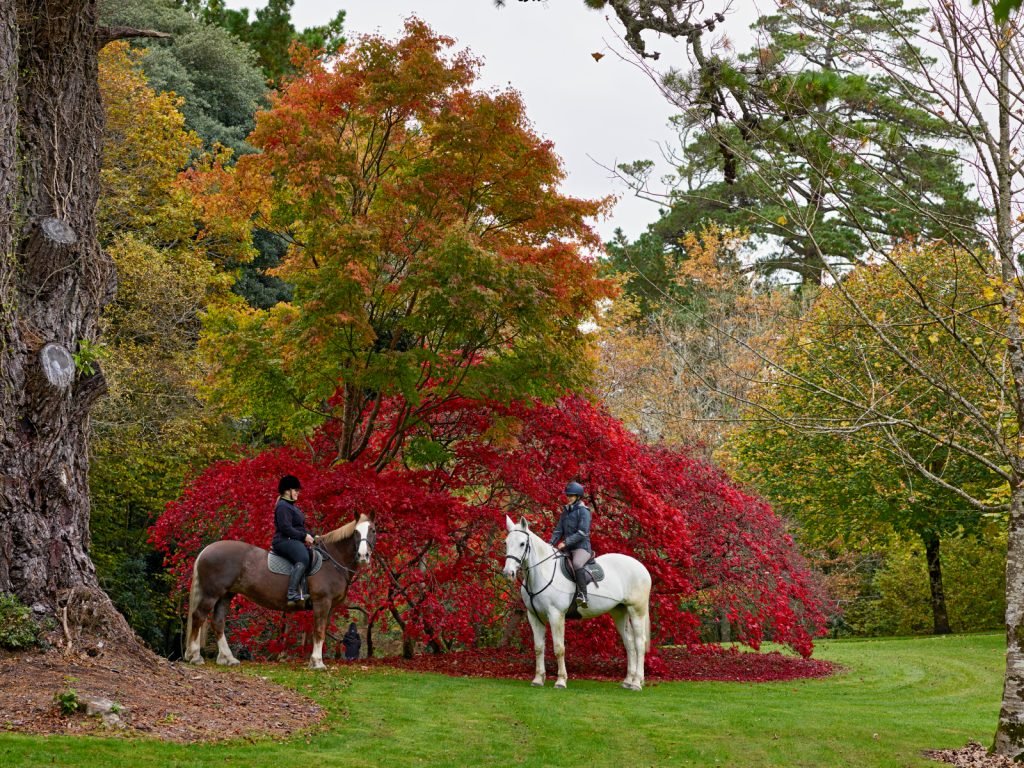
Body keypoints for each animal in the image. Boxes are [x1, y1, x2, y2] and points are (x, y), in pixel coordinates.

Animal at [184, 514, 376, 671]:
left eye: (372, 530)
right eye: (356, 532)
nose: (363, 556)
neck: (331, 561)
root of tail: (206, 550)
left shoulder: (330, 607)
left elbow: (320, 631)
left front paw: (316, 661)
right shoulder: (322, 602)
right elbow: (319, 631)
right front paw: (317, 663)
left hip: (225, 595)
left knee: (218, 622)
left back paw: (228, 658)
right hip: (211, 594)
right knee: (199, 617)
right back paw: (195, 656)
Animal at [499, 518, 651, 692]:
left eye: (522, 543)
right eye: (506, 542)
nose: (508, 572)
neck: (543, 573)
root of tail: (641, 567)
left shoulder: (556, 615)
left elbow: (559, 648)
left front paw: (560, 681)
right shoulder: (534, 617)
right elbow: (538, 648)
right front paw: (538, 679)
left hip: (636, 611)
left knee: (639, 643)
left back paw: (637, 682)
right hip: (619, 613)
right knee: (629, 643)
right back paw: (628, 681)